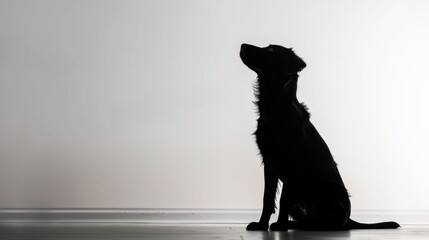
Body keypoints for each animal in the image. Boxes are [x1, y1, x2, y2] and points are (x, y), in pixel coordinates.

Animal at [239, 43, 400, 231]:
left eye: (271, 50)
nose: (242, 45)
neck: (277, 108)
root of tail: (349, 218)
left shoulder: (292, 165)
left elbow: (283, 198)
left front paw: (280, 225)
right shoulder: (269, 162)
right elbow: (267, 198)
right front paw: (261, 225)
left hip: (325, 187)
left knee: (328, 223)